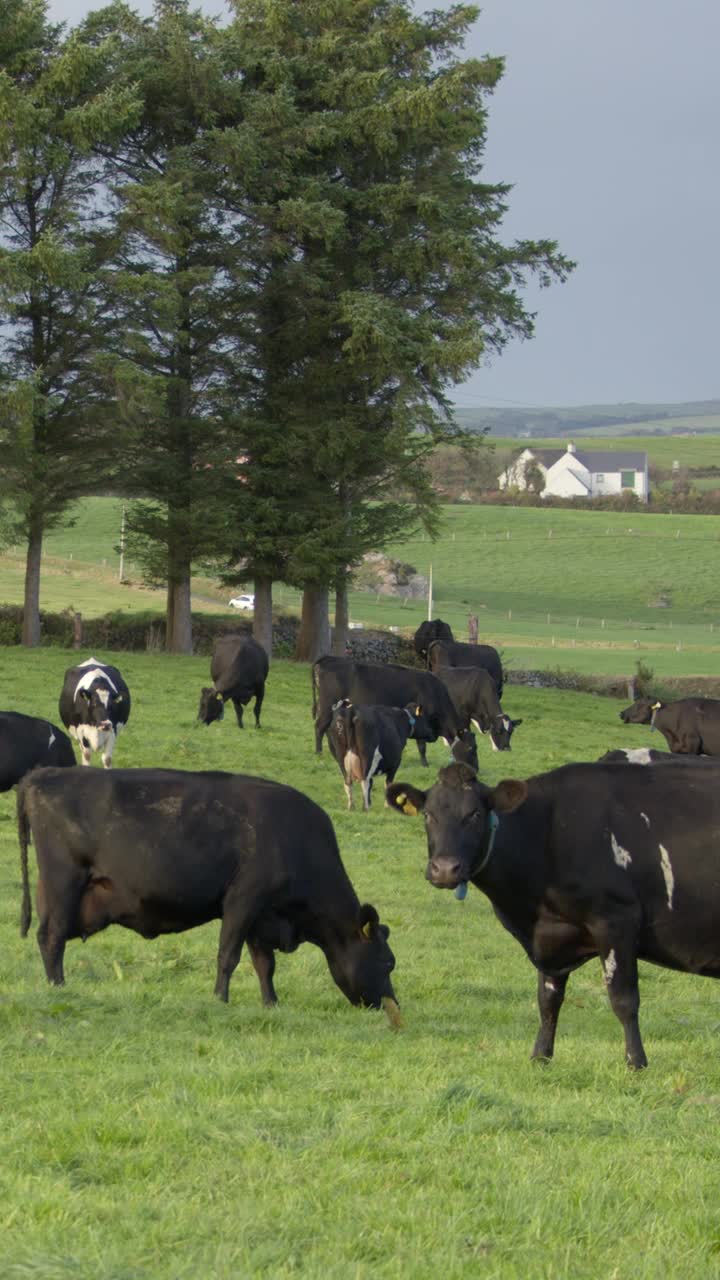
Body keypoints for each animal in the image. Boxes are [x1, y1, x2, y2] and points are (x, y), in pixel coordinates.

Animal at [16, 762, 399, 1024]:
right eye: (387, 962)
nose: (391, 1006)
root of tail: (43, 775)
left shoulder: (261, 915)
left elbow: (265, 964)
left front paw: (271, 1004)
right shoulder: (243, 899)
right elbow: (228, 956)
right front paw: (220, 1000)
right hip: (63, 881)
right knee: (52, 937)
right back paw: (59, 988)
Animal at [312, 655, 458, 762]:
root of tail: (330, 658)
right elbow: (421, 745)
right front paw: (425, 763)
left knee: (327, 728)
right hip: (327, 705)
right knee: (320, 727)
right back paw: (319, 753)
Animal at [386, 757, 720, 1070]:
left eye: (475, 814)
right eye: (428, 815)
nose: (444, 869)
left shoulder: (617, 920)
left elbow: (623, 999)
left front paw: (636, 1062)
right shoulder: (551, 935)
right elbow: (548, 1000)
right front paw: (541, 1056)